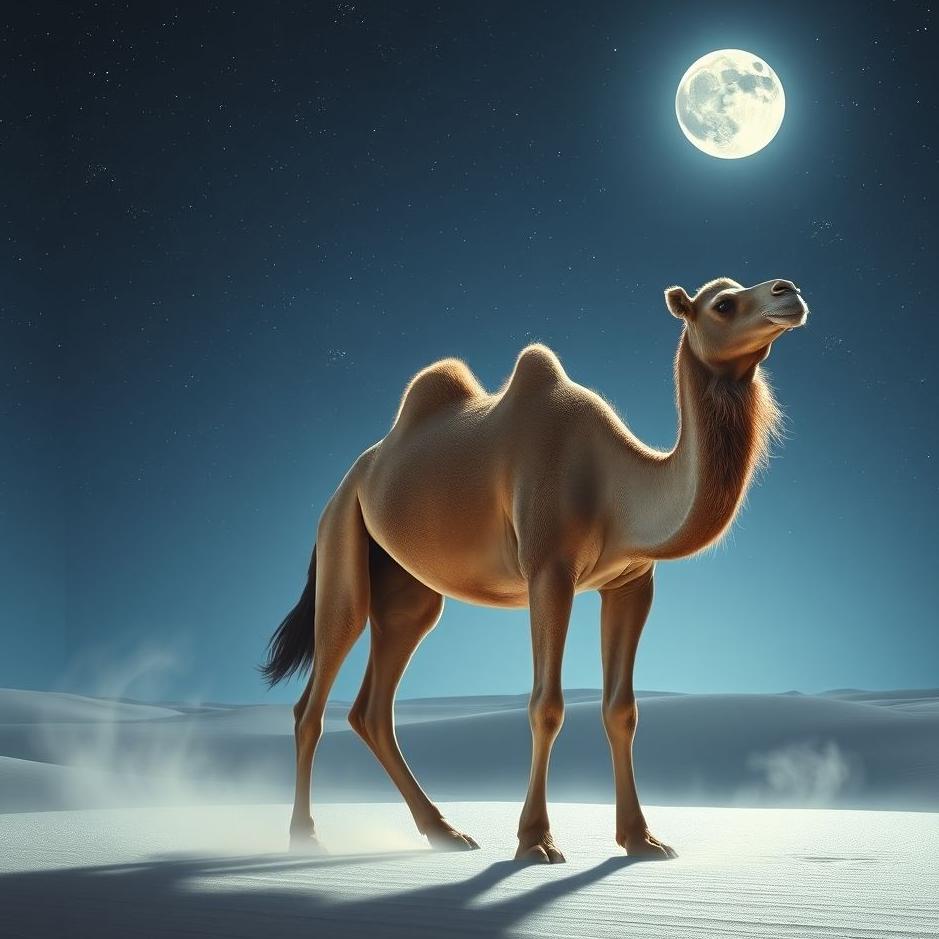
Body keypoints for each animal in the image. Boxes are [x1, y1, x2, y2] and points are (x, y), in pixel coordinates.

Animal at [262, 276, 808, 863]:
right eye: (723, 304)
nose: (789, 292)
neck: (618, 485)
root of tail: (356, 472)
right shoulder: (548, 571)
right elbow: (546, 705)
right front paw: (536, 841)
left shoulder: (632, 582)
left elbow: (622, 711)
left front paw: (641, 839)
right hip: (341, 537)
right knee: (314, 697)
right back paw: (305, 836)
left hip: (408, 590)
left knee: (373, 704)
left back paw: (444, 830)